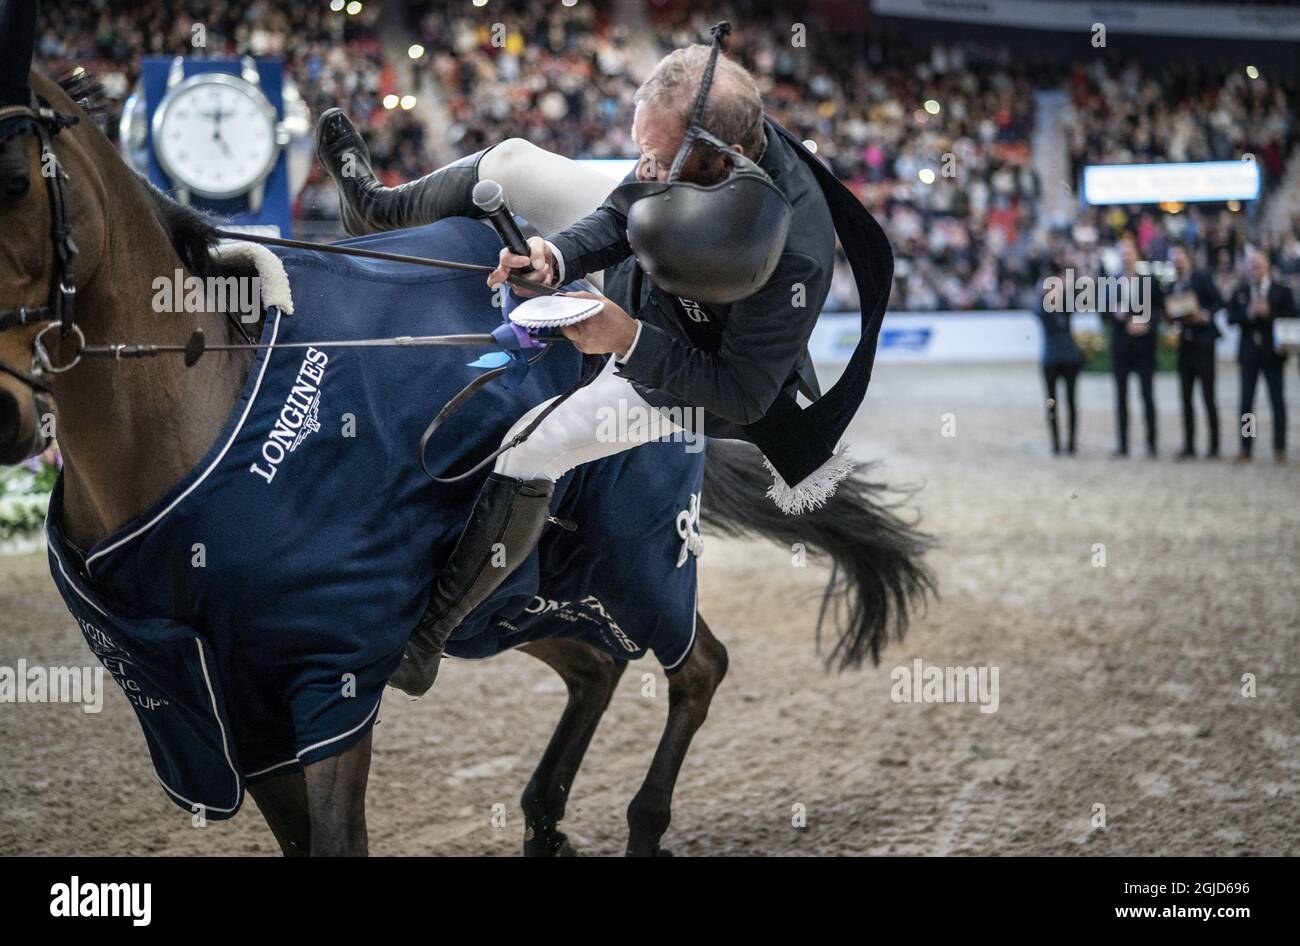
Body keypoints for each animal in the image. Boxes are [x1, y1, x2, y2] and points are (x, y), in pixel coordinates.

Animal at [0, 57, 935, 857]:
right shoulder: (217, 706)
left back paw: (640, 822)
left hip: (637, 562)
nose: (10, 413)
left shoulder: (325, 679)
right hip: (524, 601)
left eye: (13, 182)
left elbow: (336, 834)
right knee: (598, 665)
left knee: (695, 667)